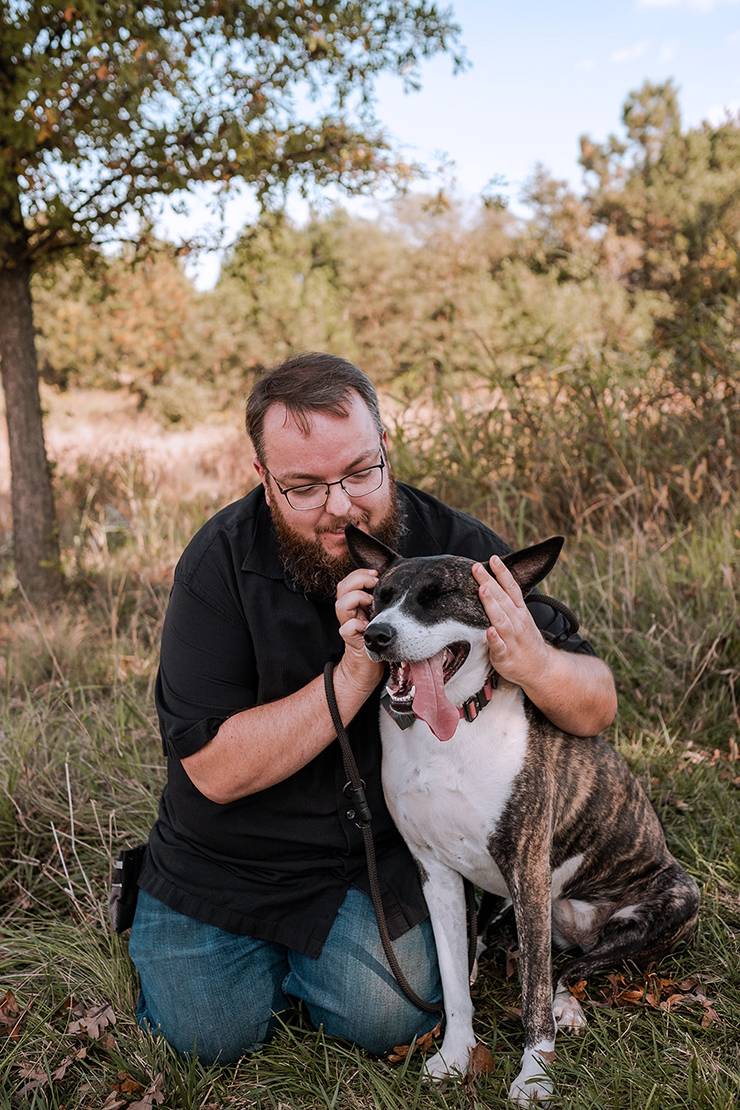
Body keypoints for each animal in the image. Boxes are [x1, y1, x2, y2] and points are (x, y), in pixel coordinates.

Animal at [346, 523, 701, 1105]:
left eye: (438, 597)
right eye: (379, 596)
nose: (376, 635)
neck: (453, 732)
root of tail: (580, 928)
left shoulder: (528, 871)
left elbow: (533, 994)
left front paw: (533, 1076)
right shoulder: (436, 875)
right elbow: (451, 983)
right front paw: (456, 1055)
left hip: (672, 899)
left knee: (568, 968)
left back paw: (567, 1005)